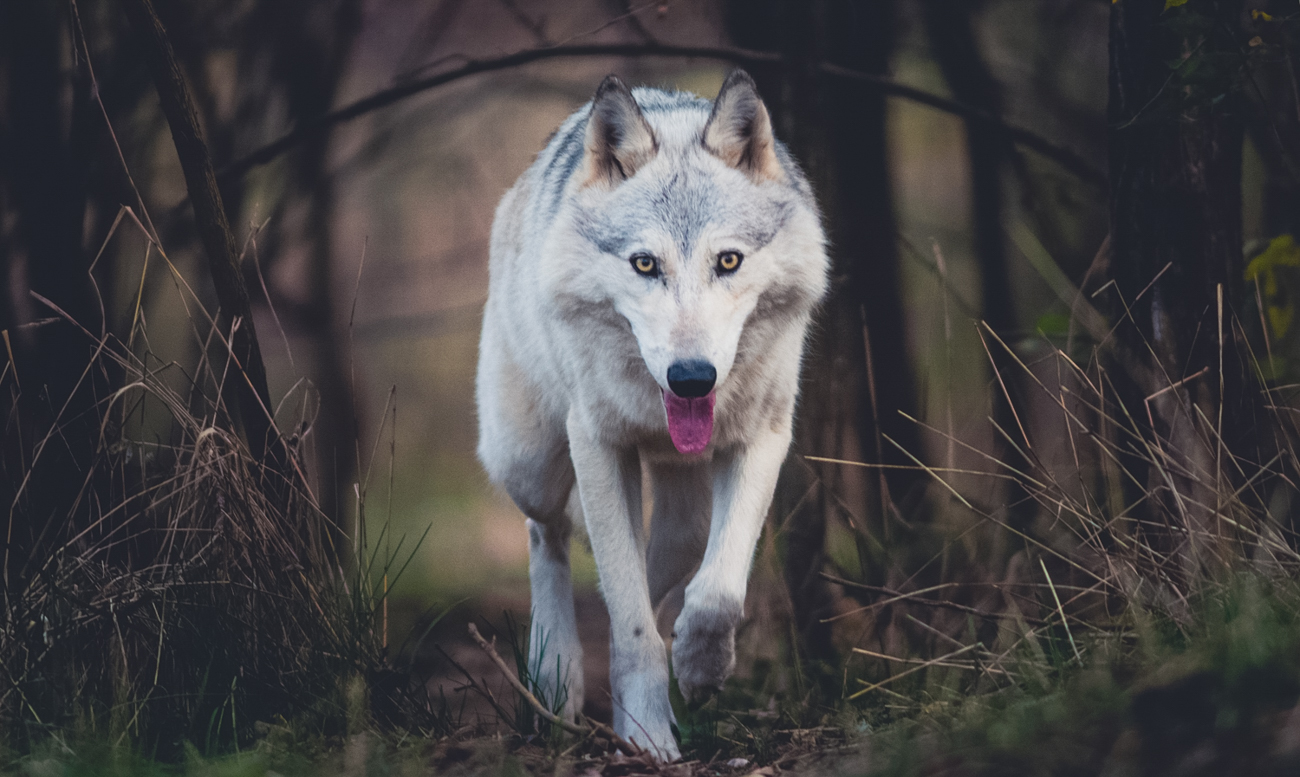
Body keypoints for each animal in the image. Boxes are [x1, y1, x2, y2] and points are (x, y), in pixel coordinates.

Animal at [476, 70, 829, 760]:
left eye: (728, 261)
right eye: (645, 264)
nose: (692, 377)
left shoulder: (763, 439)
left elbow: (716, 593)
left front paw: (698, 670)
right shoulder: (597, 446)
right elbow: (634, 624)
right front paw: (646, 734)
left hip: (686, 511)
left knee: (651, 568)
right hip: (531, 460)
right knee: (547, 536)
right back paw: (554, 676)